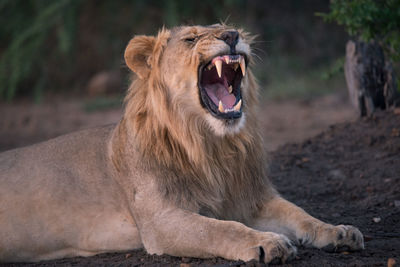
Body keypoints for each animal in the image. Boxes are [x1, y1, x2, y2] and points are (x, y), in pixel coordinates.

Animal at [0, 24, 364, 264]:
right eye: (191, 39)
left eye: (229, 28)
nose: (232, 36)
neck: (213, 147)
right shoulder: (161, 221)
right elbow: (219, 229)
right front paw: (268, 243)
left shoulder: (250, 199)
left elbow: (300, 214)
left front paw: (339, 231)